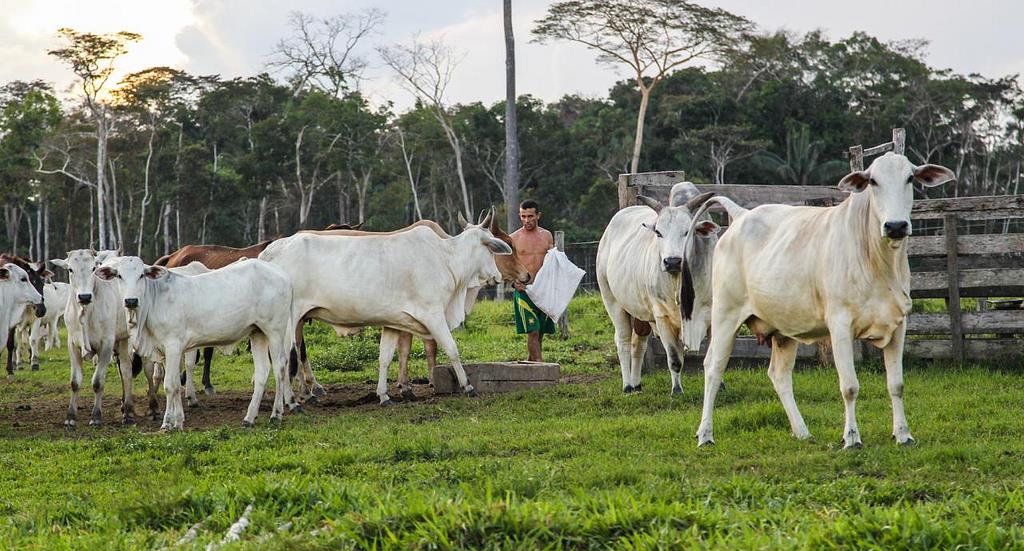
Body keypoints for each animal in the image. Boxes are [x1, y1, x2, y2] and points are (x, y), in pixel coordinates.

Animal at [51, 248, 157, 424]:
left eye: (93, 268)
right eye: (70, 269)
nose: (84, 296)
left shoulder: (106, 345)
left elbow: (98, 382)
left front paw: (96, 417)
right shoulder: (72, 345)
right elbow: (75, 382)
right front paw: (70, 417)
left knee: (147, 370)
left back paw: (151, 408)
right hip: (122, 339)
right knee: (126, 371)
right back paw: (127, 410)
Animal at [96, 253, 299, 428]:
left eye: (141, 275)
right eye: (119, 275)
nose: (131, 301)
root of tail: (281, 273)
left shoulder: (173, 345)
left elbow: (170, 385)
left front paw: (168, 423)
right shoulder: (166, 350)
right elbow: (175, 383)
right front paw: (178, 419)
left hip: (275, 330)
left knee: (280, 367)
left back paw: (276, 414)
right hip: (257, 333)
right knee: (263, 371)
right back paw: (249, 418)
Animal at [256, 209, 512, 403]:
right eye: (492, 248)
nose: (498, 276)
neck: (446, 258)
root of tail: (270, 251)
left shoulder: (393, 322)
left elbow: (385, 358)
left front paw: (384, 395)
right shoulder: (433, 315)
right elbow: (452, 349)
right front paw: (468, 386)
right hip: (289, 321)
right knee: (286, 358)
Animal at [598, 184, 716, 395]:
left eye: (688, 231)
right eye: (659, 232)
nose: (672, 261)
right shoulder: (662, 317)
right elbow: (675, 359)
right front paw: (676, 391)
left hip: (641, 314)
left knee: (638, 344)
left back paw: (637, 384)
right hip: (611, 300)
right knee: (623, 341)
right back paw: (627, 386)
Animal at [696, 150, 950, 446]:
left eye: (910, 178)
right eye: (873, 181)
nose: (896, 225)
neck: (878, 261)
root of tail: (741, 216)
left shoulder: (898, 324)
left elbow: (896, 385)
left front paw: (903, 434)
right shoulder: (840, 325)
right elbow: (849, 387)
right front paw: (851, 438)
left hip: (783, 330)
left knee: (779, 375)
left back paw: (802, 431)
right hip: (726, 316)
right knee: (713, 368)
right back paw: (705, 434)